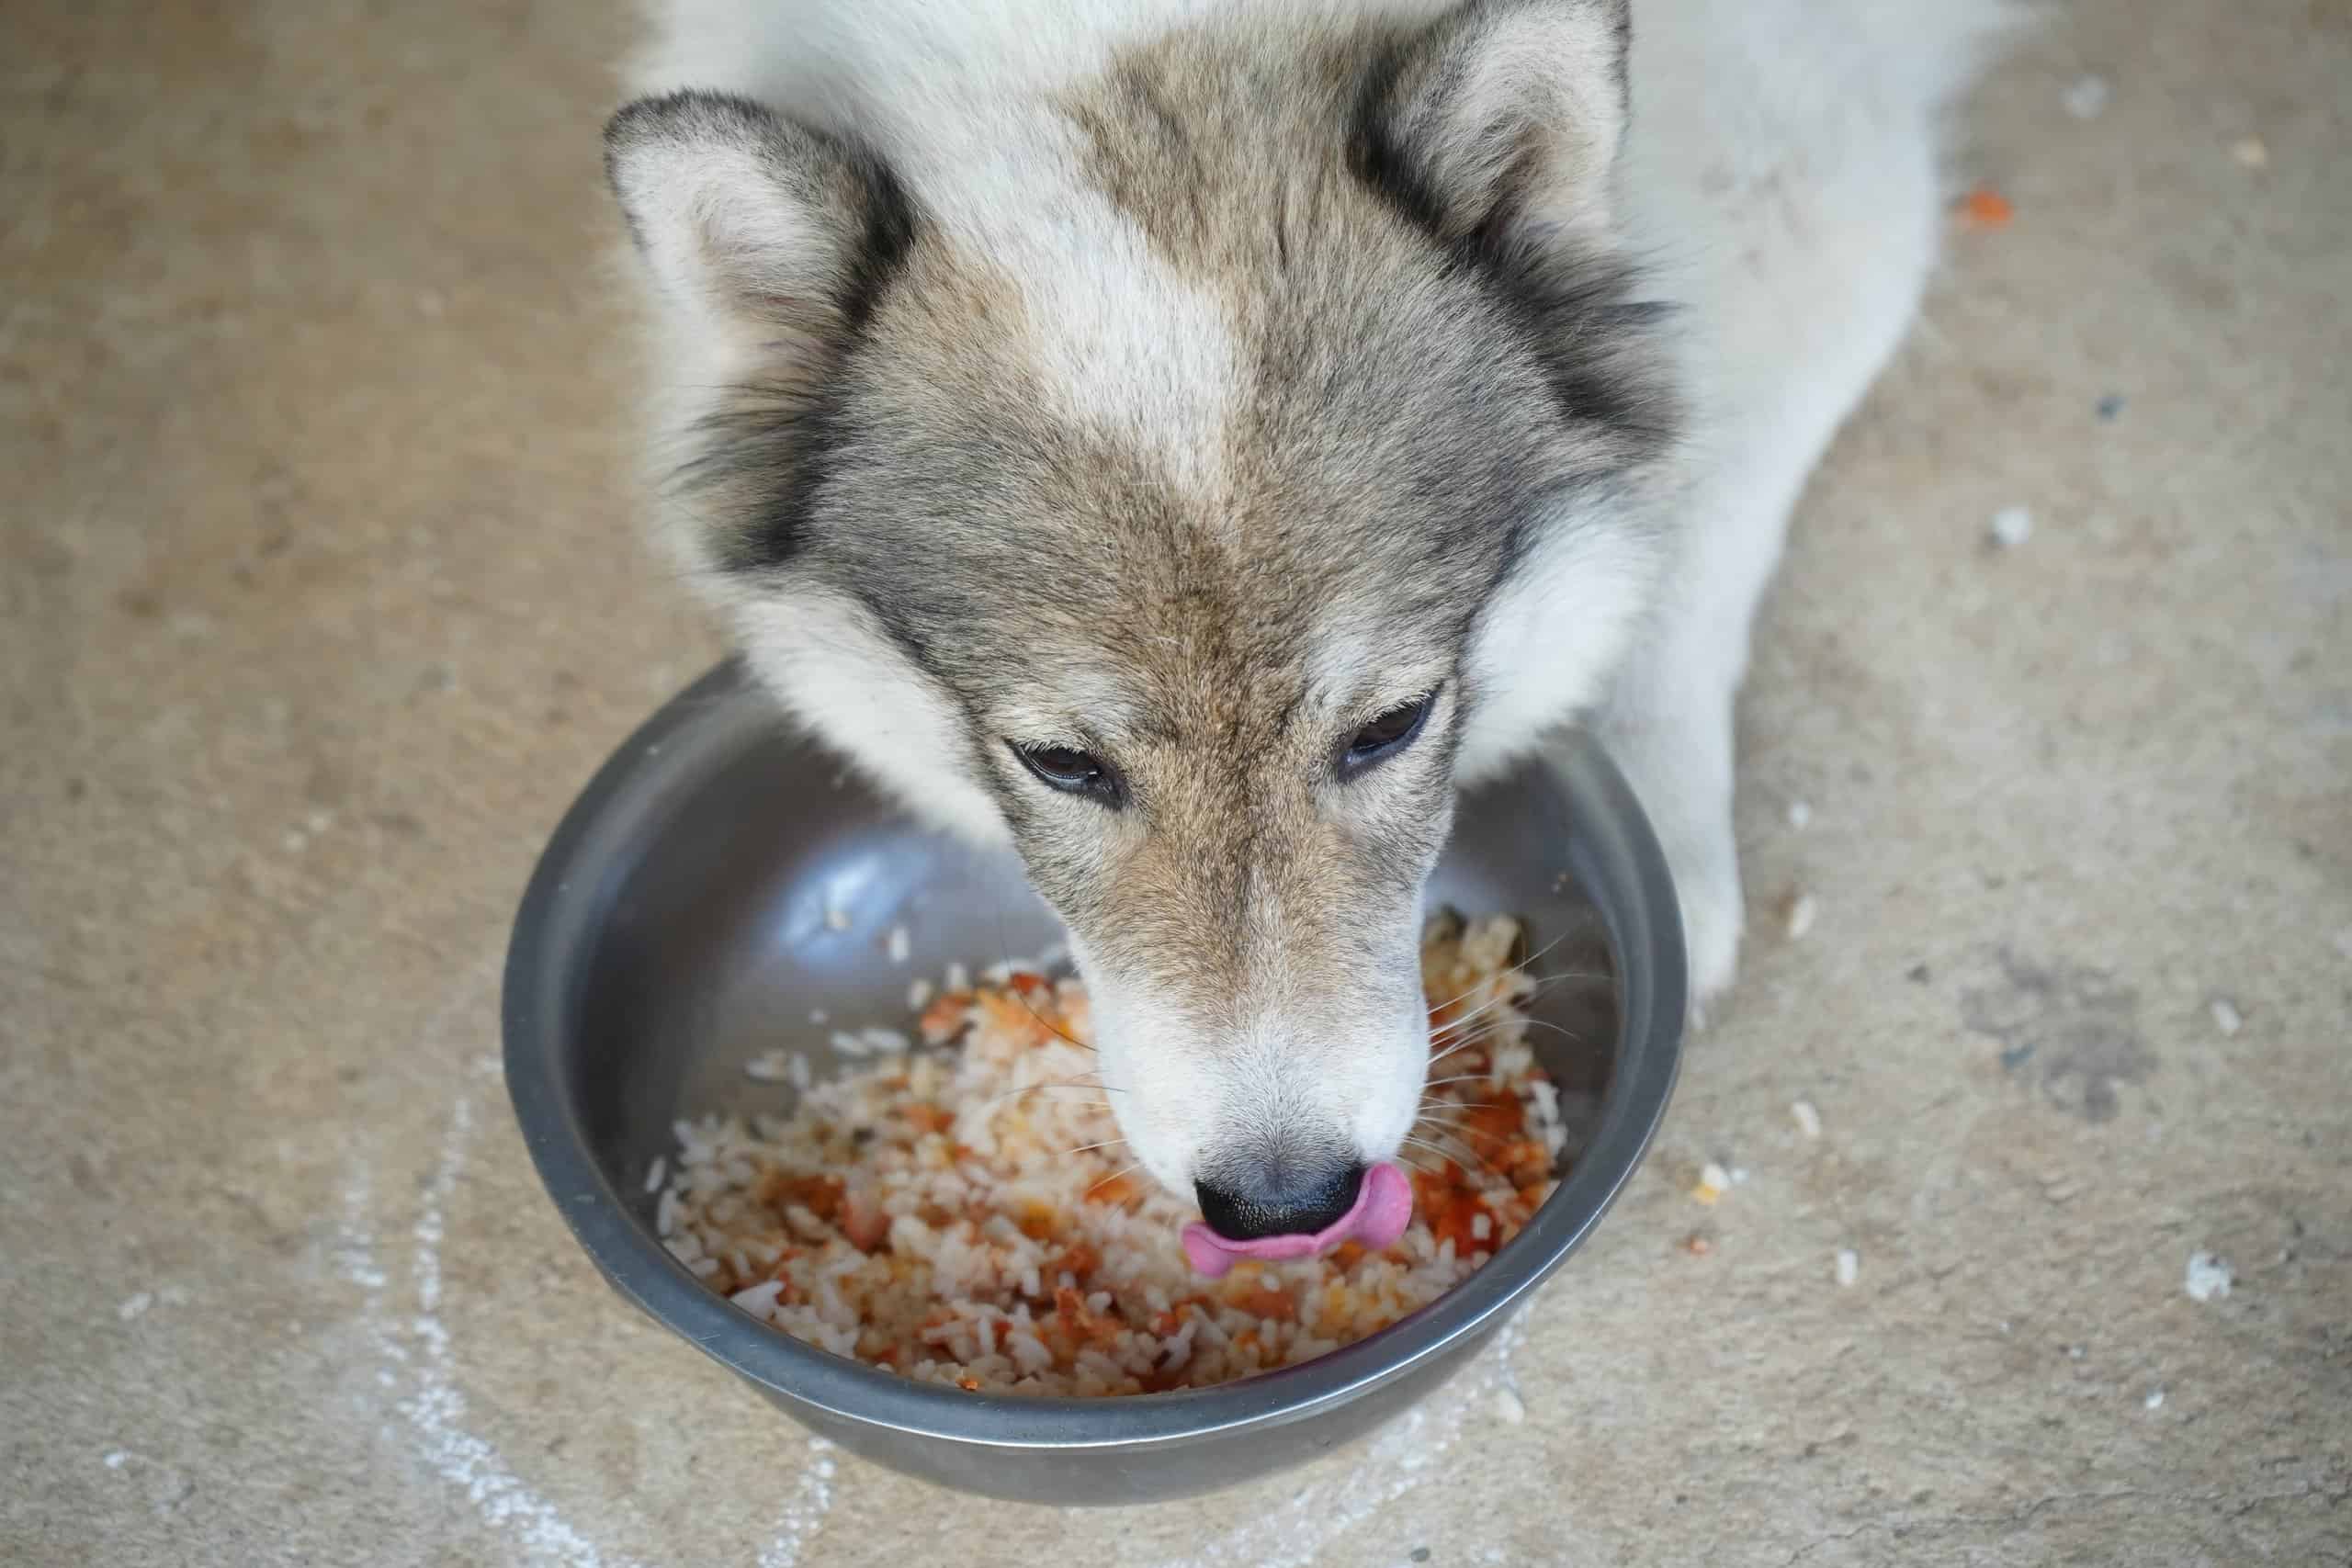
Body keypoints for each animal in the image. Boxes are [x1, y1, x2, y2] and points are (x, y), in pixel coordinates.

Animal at [606, 3, 2004, 1241]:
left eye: (1392, 725)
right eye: (1061, 764)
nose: (1284, 1202)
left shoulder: (1817, 186)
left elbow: (1698, 507)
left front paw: (1665, 835)